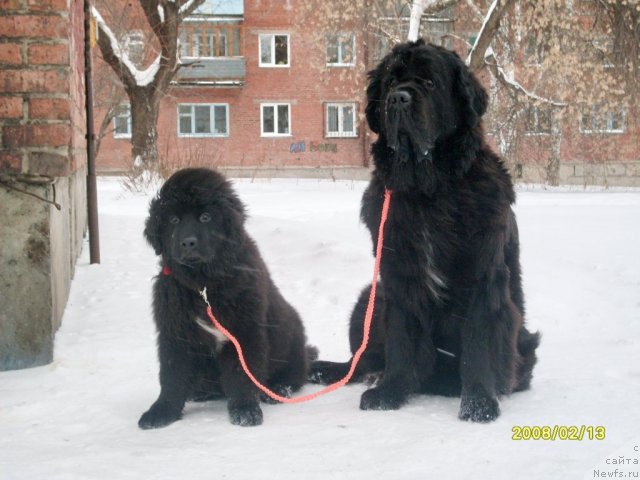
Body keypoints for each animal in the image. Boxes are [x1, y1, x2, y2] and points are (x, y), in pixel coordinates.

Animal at [139, 168, 314, 428]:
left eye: (205, 217)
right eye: (173, 220)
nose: (187, 242)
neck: (203, 285)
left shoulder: (244, 332)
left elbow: (241, 375)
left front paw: (245, 411)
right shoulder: (176, 332)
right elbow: (172, 375)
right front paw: (161, 412)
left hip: (291, 339)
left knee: (295, 375)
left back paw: (277, 390)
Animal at [310, 42, 540, 424]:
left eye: (430, 82)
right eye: (391, 82)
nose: (399, 99)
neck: (428, 190)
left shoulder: (483, 276)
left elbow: (478, 344)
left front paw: (479, 403)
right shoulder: (397, 275)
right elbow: (402, 339)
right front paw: (390, 391)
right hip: (368, 299)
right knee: (360, 360)